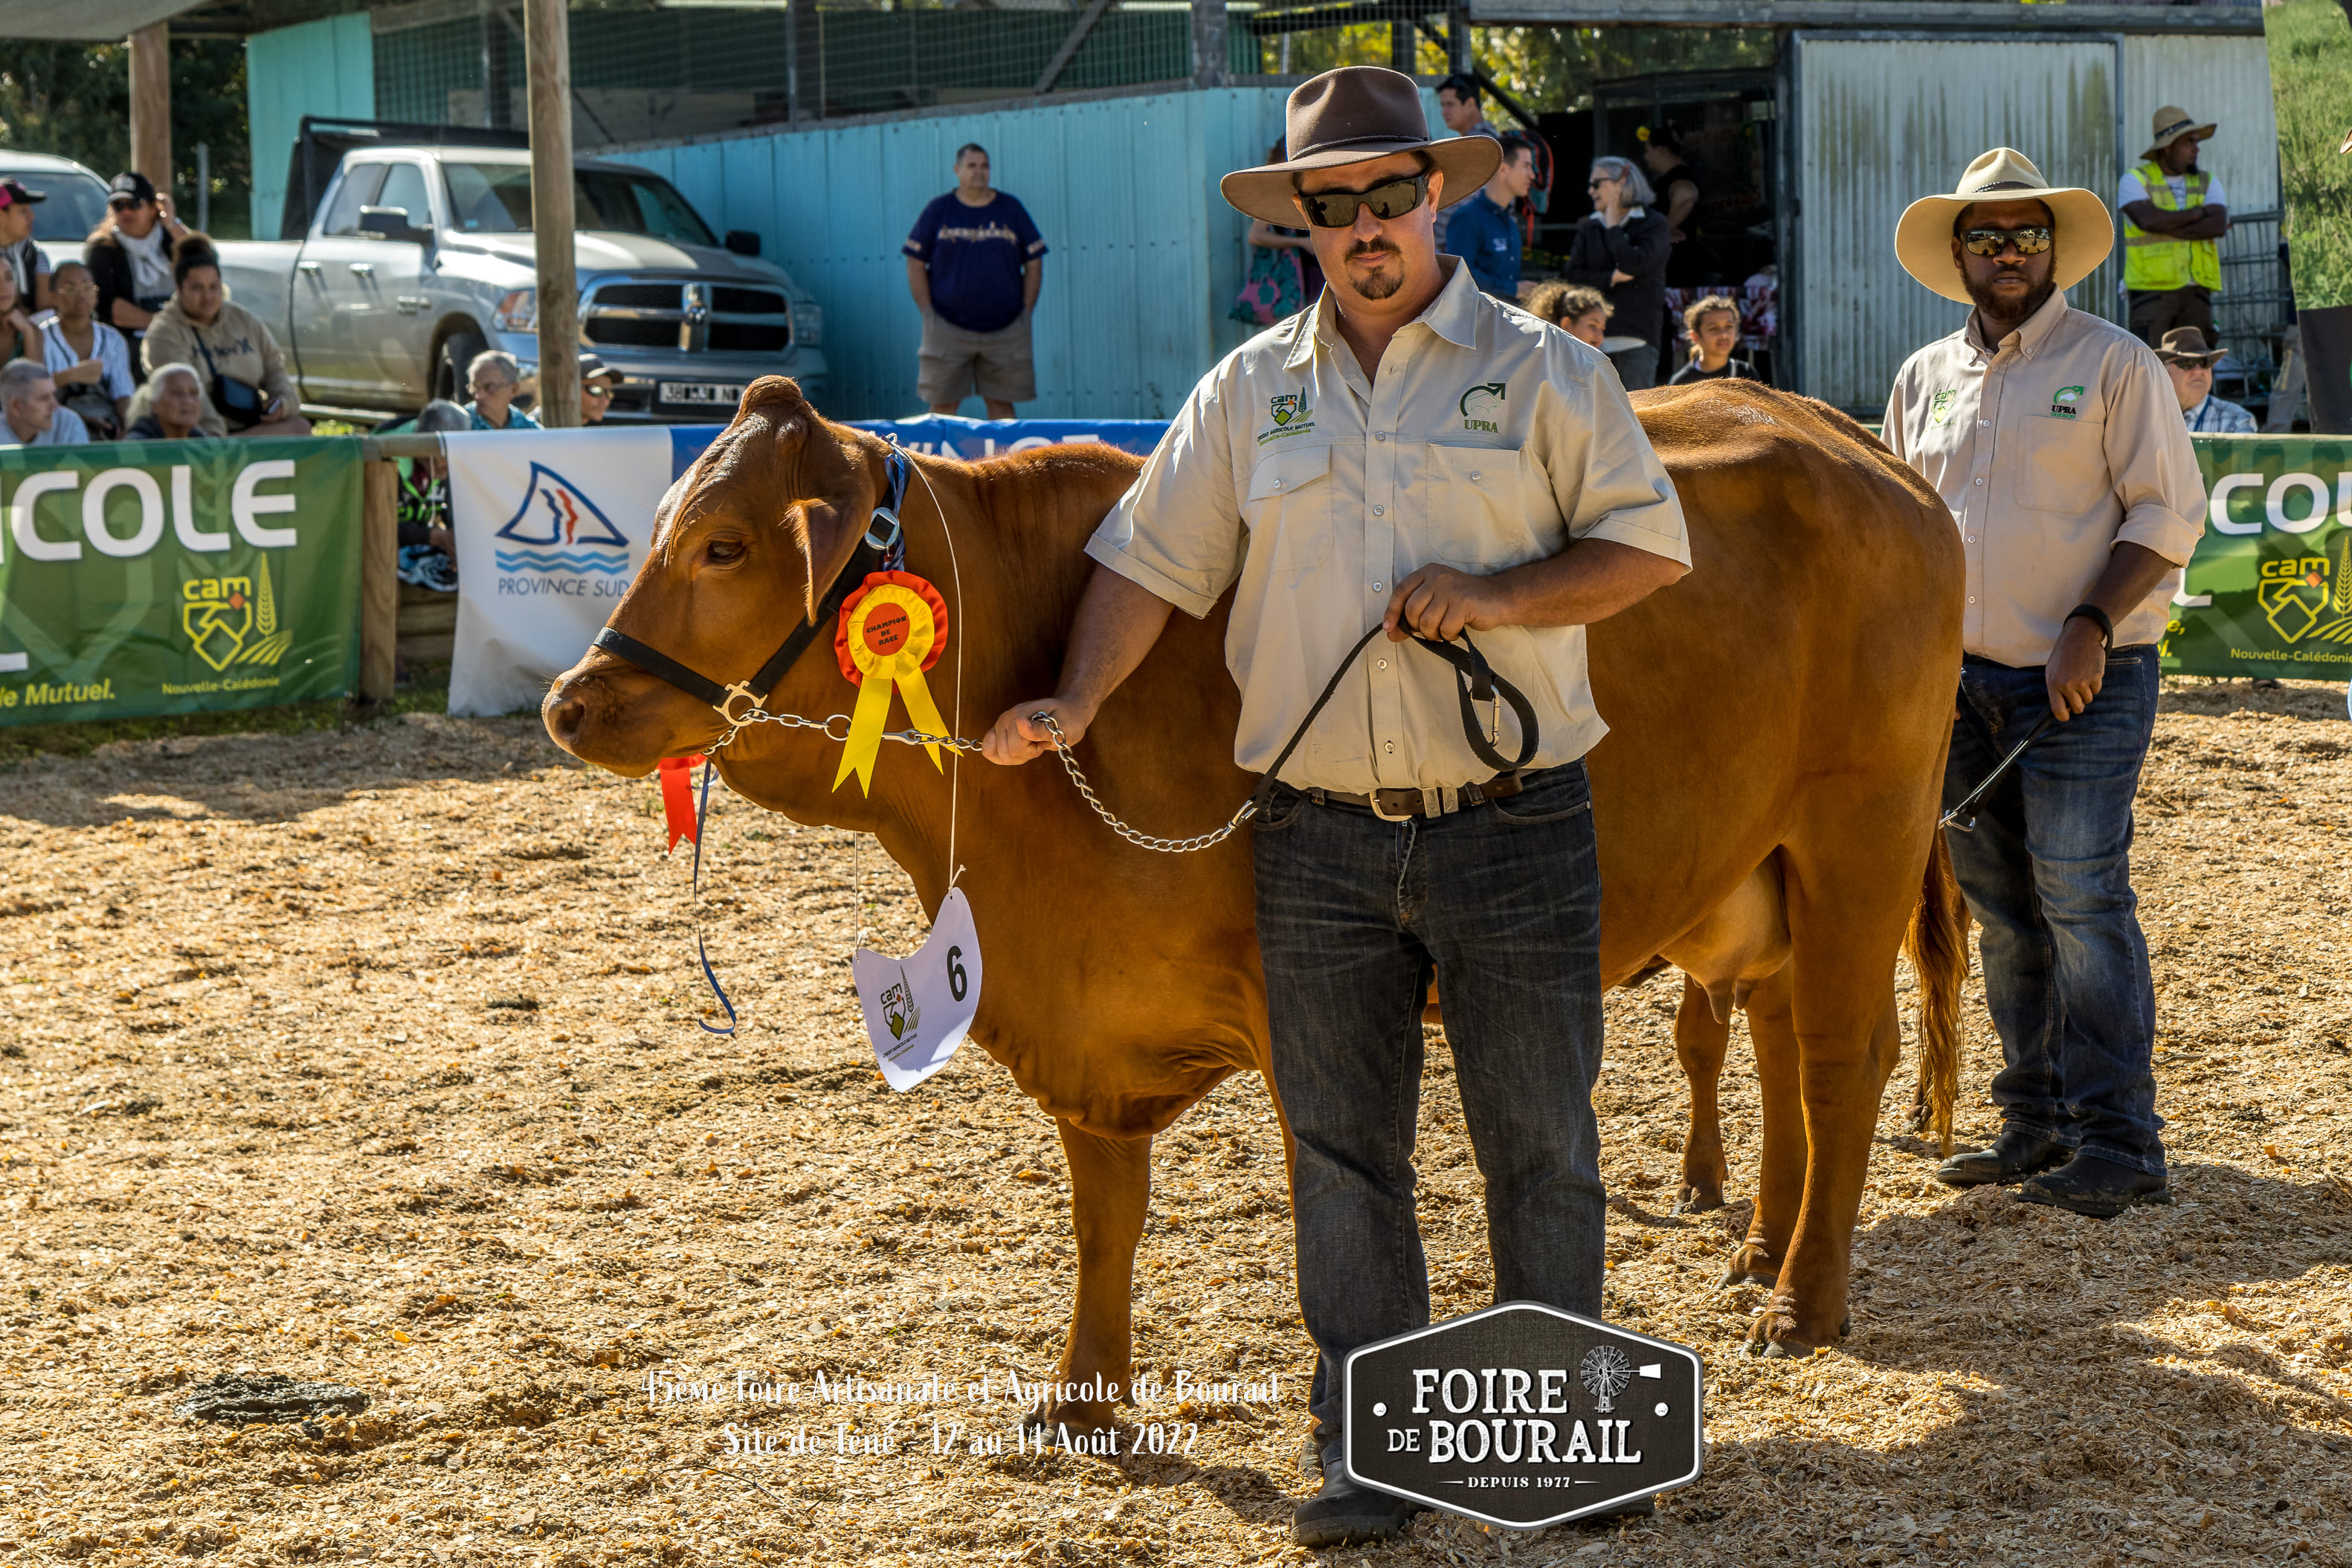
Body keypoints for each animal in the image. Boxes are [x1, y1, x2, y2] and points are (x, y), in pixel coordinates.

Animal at [545, 369, 1966, 1419]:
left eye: (724, 544)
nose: (572, 702)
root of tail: (1855, 447)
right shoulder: (1088, 1023)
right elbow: (1104, 1214)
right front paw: (1085, 1397)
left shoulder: (1301, 1007)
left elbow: (1327, 1198)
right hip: (1761, 868)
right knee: (1775, 1040)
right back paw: (1759, 1246)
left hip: (1859, 830)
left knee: (1842, 1056)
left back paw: (1801, 1299)